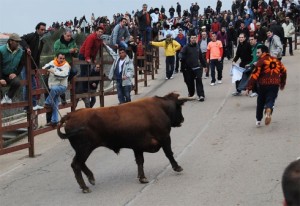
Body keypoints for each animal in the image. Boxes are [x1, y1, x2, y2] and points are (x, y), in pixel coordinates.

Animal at [57, 92, 189, 192]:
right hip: (84, 149)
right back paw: (85, 187)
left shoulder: (138, 146)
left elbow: (140, 161)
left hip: (83, 150)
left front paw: (142, 178)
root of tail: (71, 115)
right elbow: (169, 153)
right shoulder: (164, 138)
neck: (161, 107)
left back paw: (91, 179)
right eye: (179, 107)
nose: (182, 119)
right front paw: (177, 167)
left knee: (80, 164)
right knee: (76, 164)